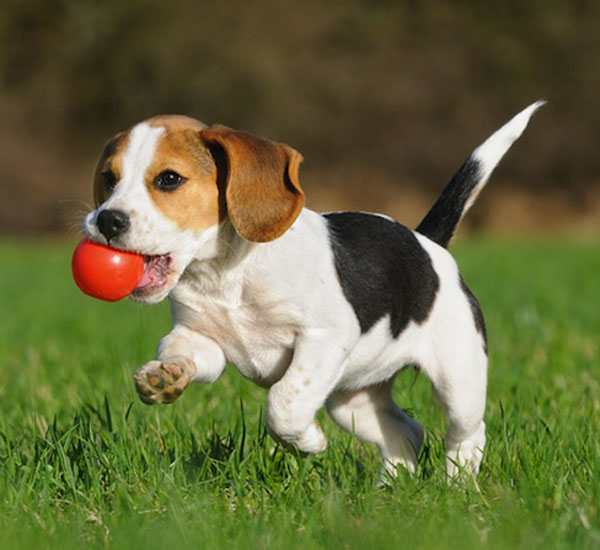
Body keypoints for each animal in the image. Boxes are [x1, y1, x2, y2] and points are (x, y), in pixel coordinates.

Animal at [83, 102, 544, 478]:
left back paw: (457, 486)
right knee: (406, 433)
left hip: (458, 379)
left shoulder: (324, 338)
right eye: (108, 178)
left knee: (467, 434)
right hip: (352, 401)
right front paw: (165, 376)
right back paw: (390, 490)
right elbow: (182, 351)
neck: (225, 274)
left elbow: (284, 404)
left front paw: (309, 442)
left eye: (169, 179)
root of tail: (426, 242)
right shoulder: (202, 340)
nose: (106, 220)